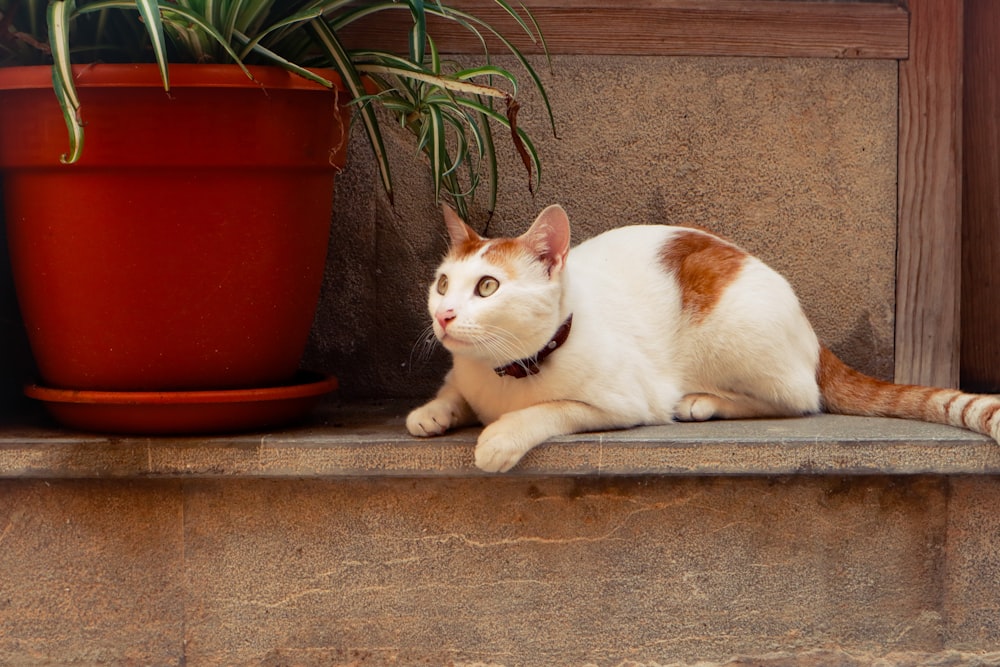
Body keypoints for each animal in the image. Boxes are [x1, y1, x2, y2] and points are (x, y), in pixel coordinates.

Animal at [406, 206, 1000, 472]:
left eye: (488, 286)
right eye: (443, 284)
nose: (445, 316)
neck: (504, 370)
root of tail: (809, 329)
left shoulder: (623, 403)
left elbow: (548, 410)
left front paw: (499, 437)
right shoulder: (463, 374)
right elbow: (453, 391)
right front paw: (432, 413)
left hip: (735, 333)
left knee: (798, 398)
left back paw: (705, 402)